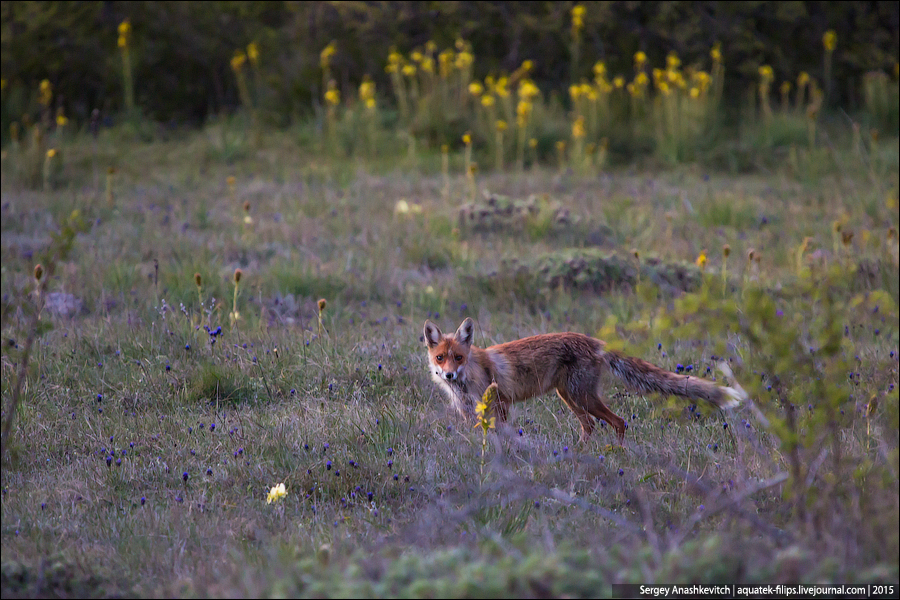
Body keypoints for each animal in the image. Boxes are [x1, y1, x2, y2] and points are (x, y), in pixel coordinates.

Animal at [422, 318, 744, 440]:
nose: (448, 374)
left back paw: (616, 454)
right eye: (440, 358)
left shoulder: (500, 405)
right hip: (569, 396)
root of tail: (593, 340)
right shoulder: (470, 412)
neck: (468, 382)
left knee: (618, 422)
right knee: (589, 426)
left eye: (458, 357)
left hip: (582, 396)